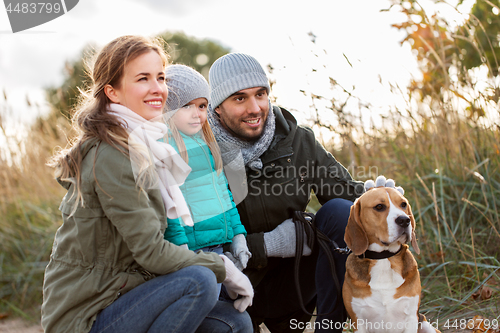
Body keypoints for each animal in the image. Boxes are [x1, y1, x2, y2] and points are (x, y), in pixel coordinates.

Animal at [342, 183, 440, 332]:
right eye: (379, 207)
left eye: (403, 204)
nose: (404, 220)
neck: (383, 258)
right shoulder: (358, 322)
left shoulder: (411, 317)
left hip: (426, 325)